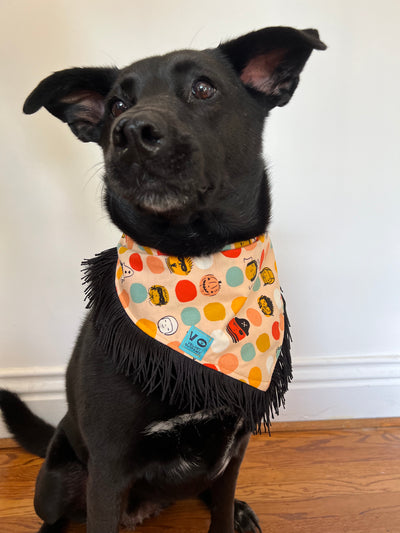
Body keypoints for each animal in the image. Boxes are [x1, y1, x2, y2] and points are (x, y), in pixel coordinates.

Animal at [0, 27, 324, 532]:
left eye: (203, 88)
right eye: (116, 104)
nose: (132, 132)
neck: (195, 262)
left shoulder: (235, 447)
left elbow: (220, 512)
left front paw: (230, 512)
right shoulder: (108, 471)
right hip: (57, 481)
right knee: (57, 514)